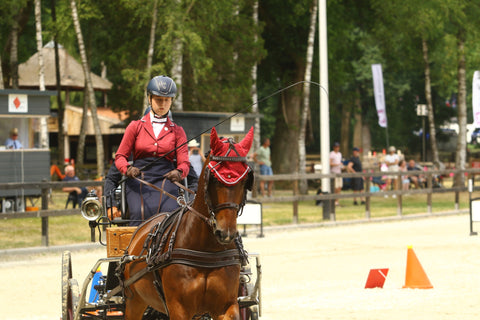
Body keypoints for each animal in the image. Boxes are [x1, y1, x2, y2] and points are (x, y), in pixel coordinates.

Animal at [120, 126, 255, 318]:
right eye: (214, 179)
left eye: (245, 181)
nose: (225, 233)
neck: (206, 250)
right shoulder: (179, 309)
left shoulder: (226, 306)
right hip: (135, 302)